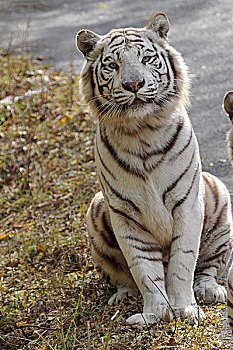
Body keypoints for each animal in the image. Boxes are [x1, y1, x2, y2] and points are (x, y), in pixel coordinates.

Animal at [77, 13, 233, 326]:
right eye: (113, 65)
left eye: (146, 58)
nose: (134, 84)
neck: (141, 132)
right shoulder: (124, 214)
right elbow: (144, 269)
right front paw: (156, 313)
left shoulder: (187, 203)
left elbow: (183, 262)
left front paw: (185, 309)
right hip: (96, 210)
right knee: (122, 276)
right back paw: (124, 294)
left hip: (219, 197)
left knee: (208, 268)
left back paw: (210, 290)